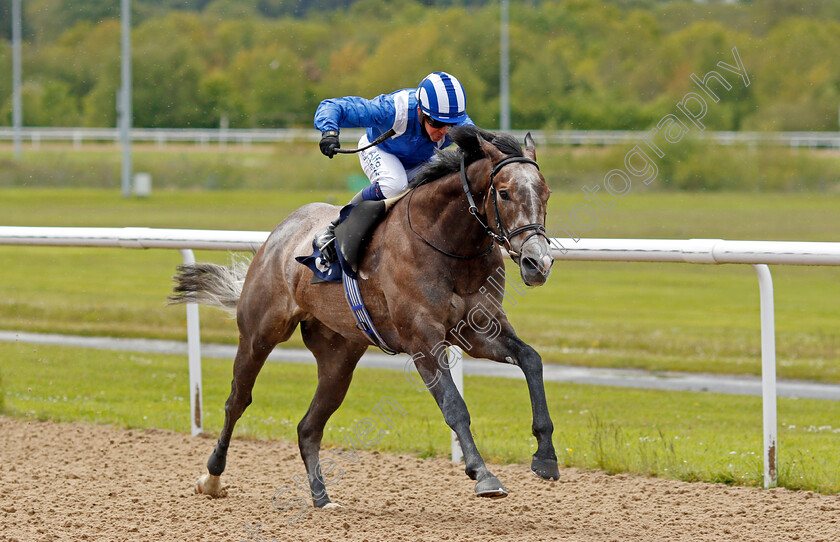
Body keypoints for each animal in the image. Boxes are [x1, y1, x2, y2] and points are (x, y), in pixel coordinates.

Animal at [170, 126, 556, 510]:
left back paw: (322, 498)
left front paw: (546, 457)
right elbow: (454, 406)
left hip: (338, 357)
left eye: (546, 192)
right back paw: (212, 477)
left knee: (308, 427)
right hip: (259, 333)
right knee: (237, 400)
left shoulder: (478, 331)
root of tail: (280, 233)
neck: (448, 244)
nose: (537, 263)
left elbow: (531, 359)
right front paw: (483, 473)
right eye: (504, 193)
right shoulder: (422, 340)